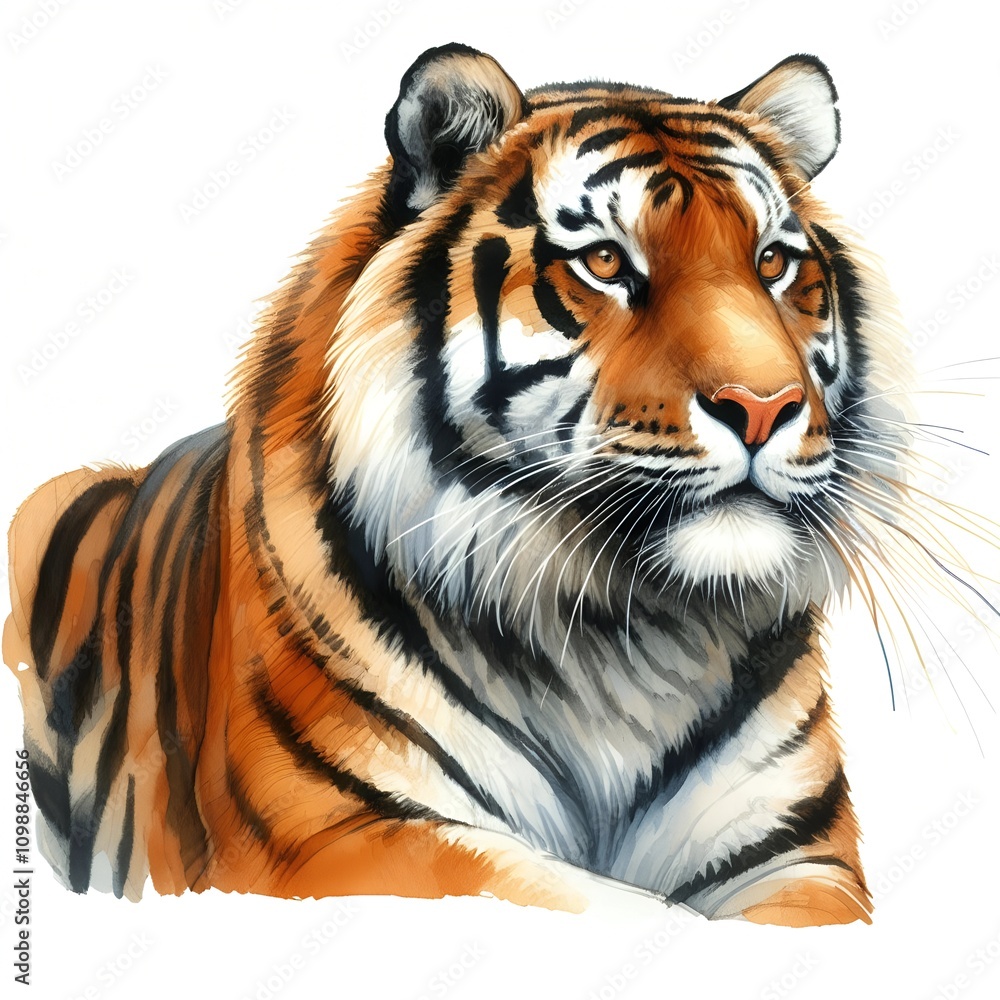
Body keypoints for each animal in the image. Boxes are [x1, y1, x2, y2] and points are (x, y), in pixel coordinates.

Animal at [5, 42, 931, 926]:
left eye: (773, 263)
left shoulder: (799, 857)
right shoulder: (339, 835)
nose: (764, 406)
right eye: (605, 262)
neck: (627, 636)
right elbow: (618, 911)